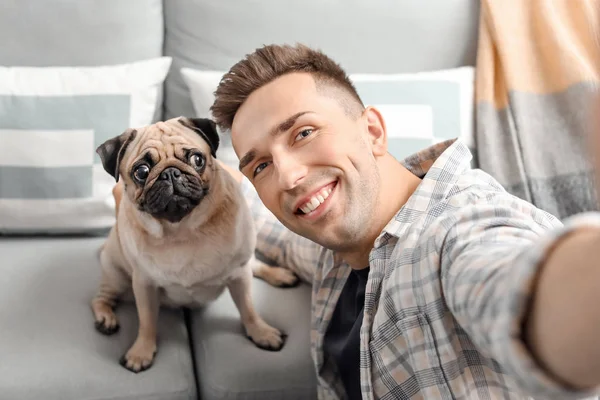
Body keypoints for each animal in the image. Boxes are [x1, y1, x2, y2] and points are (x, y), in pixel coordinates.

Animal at [92, 117, 298, 374]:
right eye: (141, 171)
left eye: (197, 159)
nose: (170, 173)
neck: (181, 230)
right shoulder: (144, 284)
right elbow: (147, 321)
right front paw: (141, 351)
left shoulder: (239, 275)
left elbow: (248, 308)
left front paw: (261, 332)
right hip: (117, 275)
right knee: (99, 299)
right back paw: (105, 319)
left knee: (256, 266)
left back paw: (279, 275)